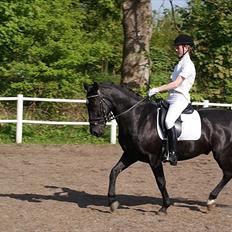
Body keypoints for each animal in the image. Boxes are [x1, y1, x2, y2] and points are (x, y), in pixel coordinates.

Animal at [84, 81, 232, 214]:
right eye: (87, 104)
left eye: (95, 104)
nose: (95, 132)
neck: (138, 118)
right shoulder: (131, 154)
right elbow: (114, 172)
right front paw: (113, 202)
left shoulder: (153, 158)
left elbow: (161, 181)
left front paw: (165, 206)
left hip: (221, 154)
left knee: (227, 174)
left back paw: (210, 201)